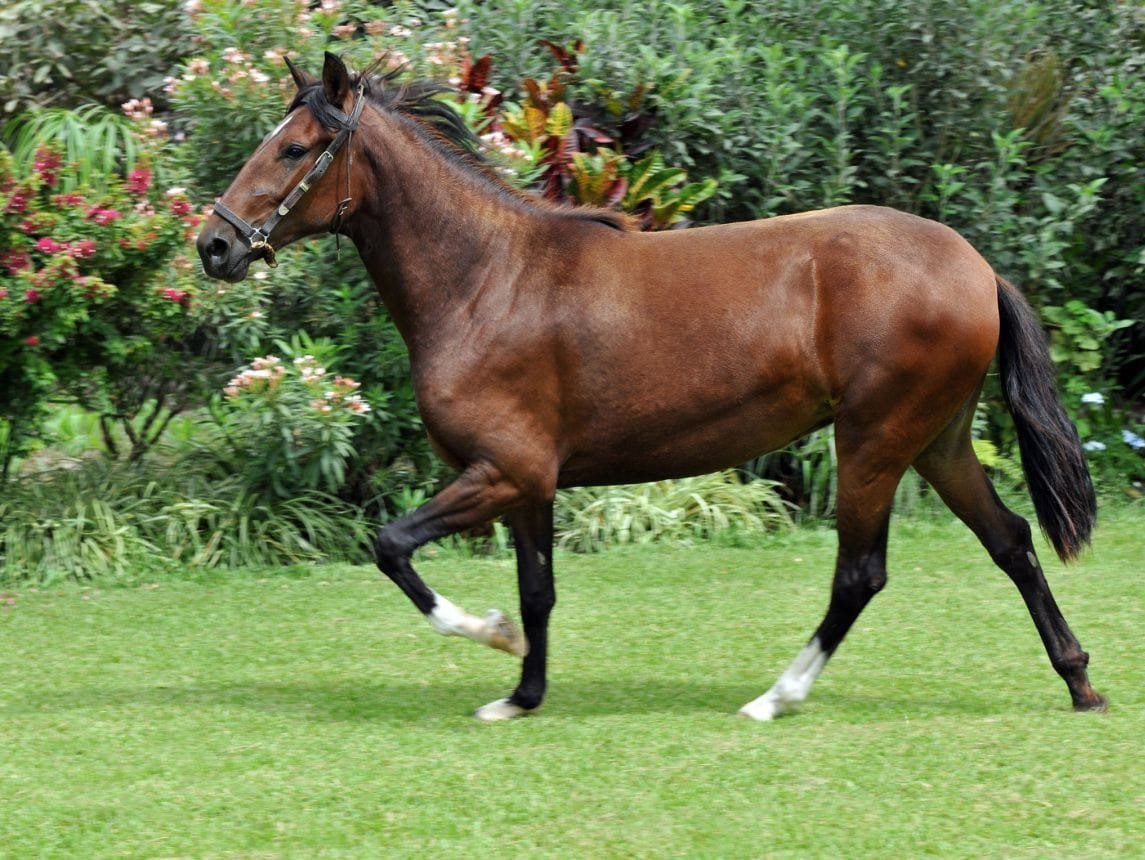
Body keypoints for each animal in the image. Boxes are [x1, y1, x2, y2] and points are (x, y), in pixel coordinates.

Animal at [199, 53, 1108, 723]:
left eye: (292, 149)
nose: (215, 244)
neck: (486, 280)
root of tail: (975, 267)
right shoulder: (529, 483)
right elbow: (538, 591)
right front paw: (521, 694)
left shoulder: (501, 472)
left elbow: (392, 547)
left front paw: (491, 637)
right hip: (936, 440)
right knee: (1010, 541)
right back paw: (1079, 681)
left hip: (874, 442)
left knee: (861, 574)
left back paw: (775, 697)